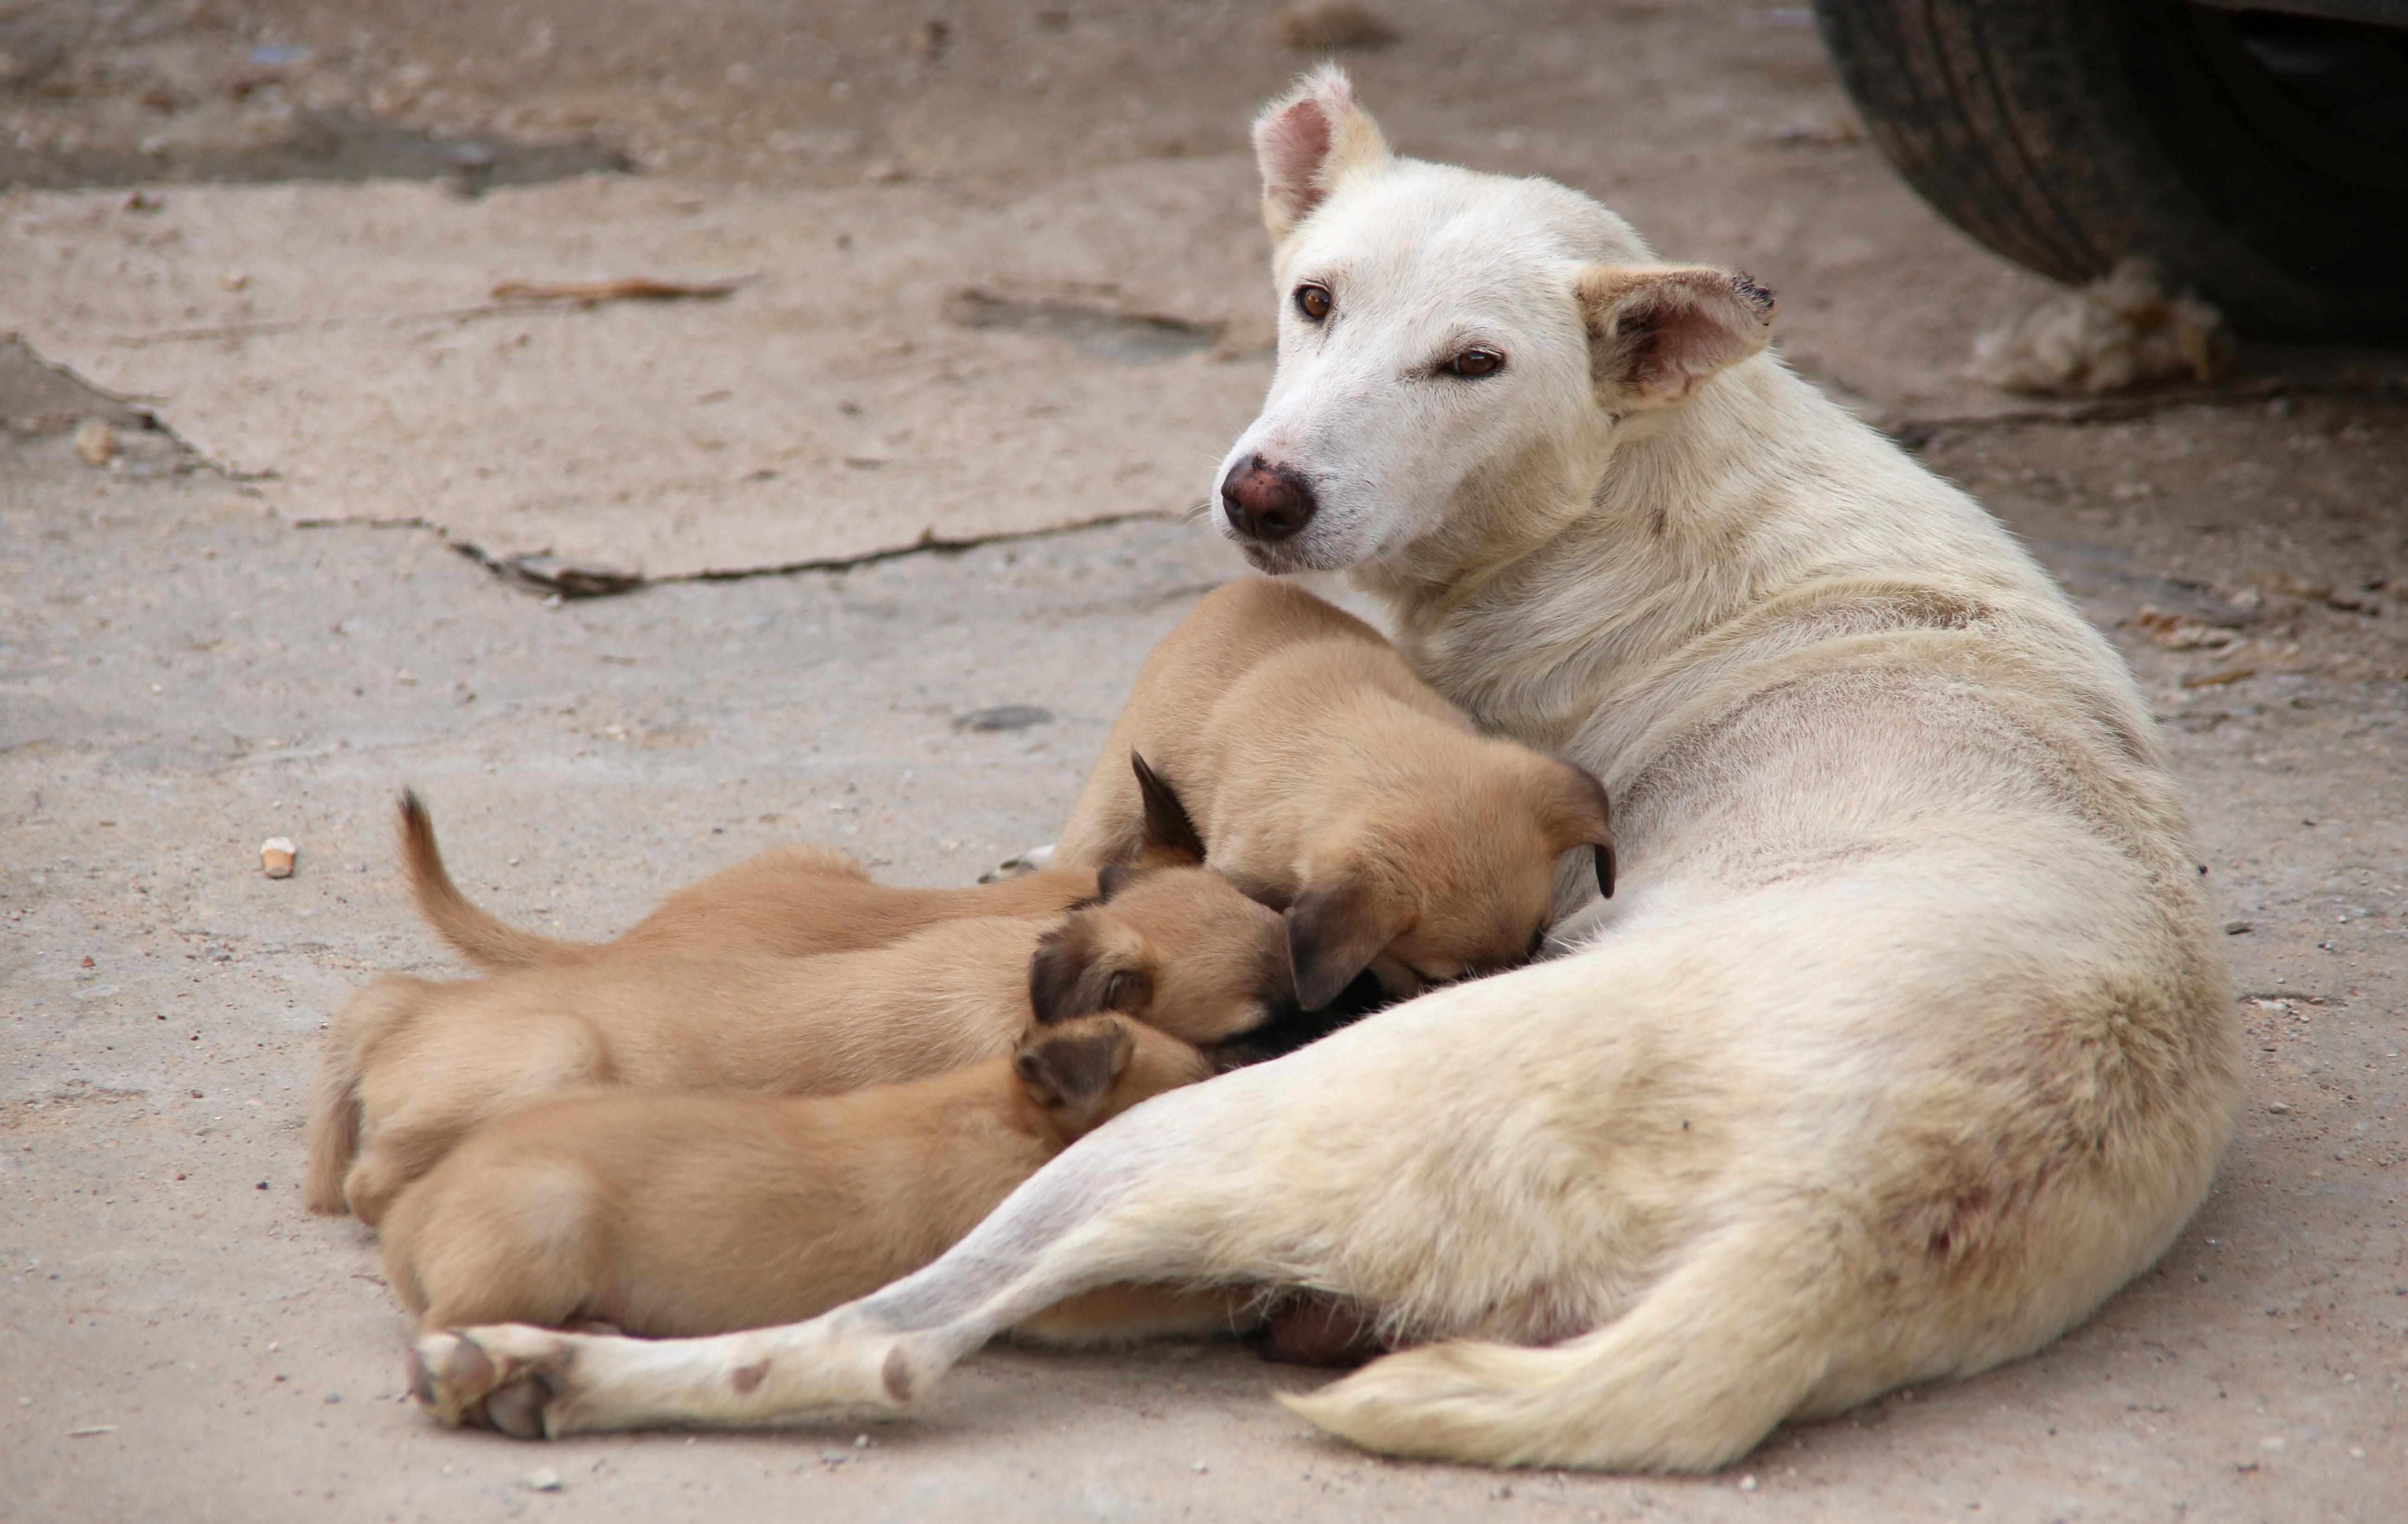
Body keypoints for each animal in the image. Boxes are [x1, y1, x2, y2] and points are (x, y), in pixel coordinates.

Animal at [385, 1016, 1213, 1348]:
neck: (1010, 1122)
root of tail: (412, 1210)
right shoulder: (1057, 1287)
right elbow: (1174, 1293)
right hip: (548, 1217)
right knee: (452, 1324)